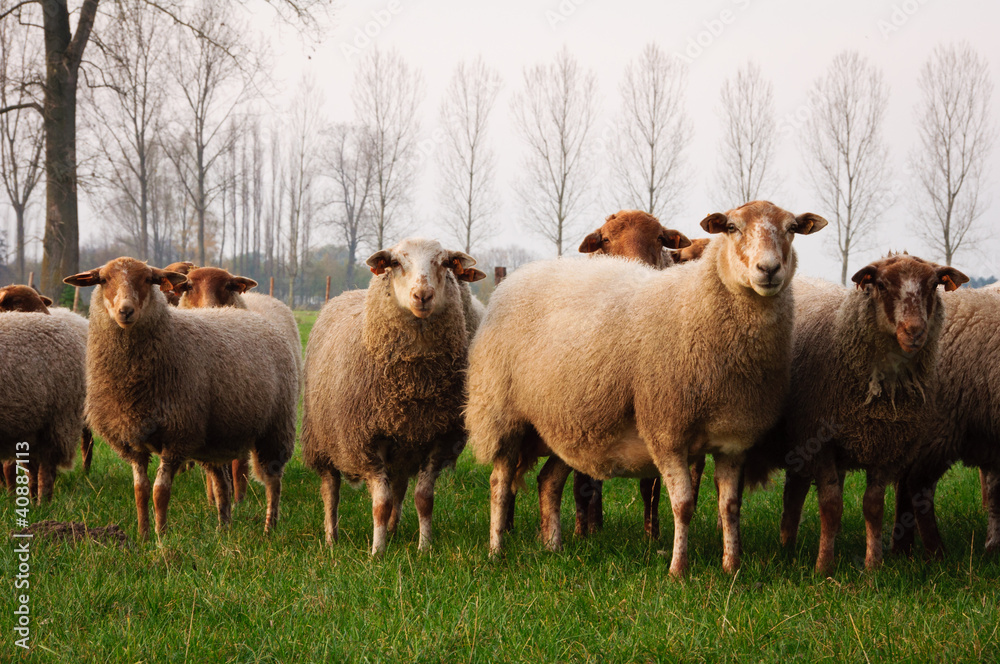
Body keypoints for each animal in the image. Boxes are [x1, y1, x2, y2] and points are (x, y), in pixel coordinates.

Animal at [0, 308, 88, 502]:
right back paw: (32, 500)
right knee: (33, 469)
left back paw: (43, 504)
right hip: (29, 426)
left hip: (59, 420)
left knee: (47, 470)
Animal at [172, 266, 303, 504]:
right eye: (189, 286)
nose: (211, 309)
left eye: (228, 286)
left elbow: (239, 464)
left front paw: (239, 499)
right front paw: (213, 498)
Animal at [302, 237, 485, 555]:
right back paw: (331, 537)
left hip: (402, 451)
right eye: (396, 263)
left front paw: (425, 547)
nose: (422, 295)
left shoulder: (439, 438)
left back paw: (394, 530)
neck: (415, 386)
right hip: (322, 440)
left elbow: (423, 499)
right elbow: (381, 503)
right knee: (330, 489)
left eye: (445, 263)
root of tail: (345, 294)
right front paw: (378, 551)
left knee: (398, 487)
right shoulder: (365, 441)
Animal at [466, 200, 827, 576]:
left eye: (791, 229)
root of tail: (516, 277)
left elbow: (729, 506)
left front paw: (732, 567)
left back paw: (553, 546)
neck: (698, 308)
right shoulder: (667, 431)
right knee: (500, 483)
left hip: (562, 425)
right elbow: (682, 505)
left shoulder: (732, 439)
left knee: (549, 481)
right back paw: (496, 551)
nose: (768, 269)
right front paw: (678, 570)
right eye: (731, 228)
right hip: (502, 412)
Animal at [744, 254, 966, 573]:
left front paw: (873, 566)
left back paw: (788, 546)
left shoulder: (884, 445)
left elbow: (873, 507)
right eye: (882, 285)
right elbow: (831, 506)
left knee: (794, 491)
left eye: (934, 285)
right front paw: (824, 566)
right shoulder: (821, 443)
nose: (914, 331)